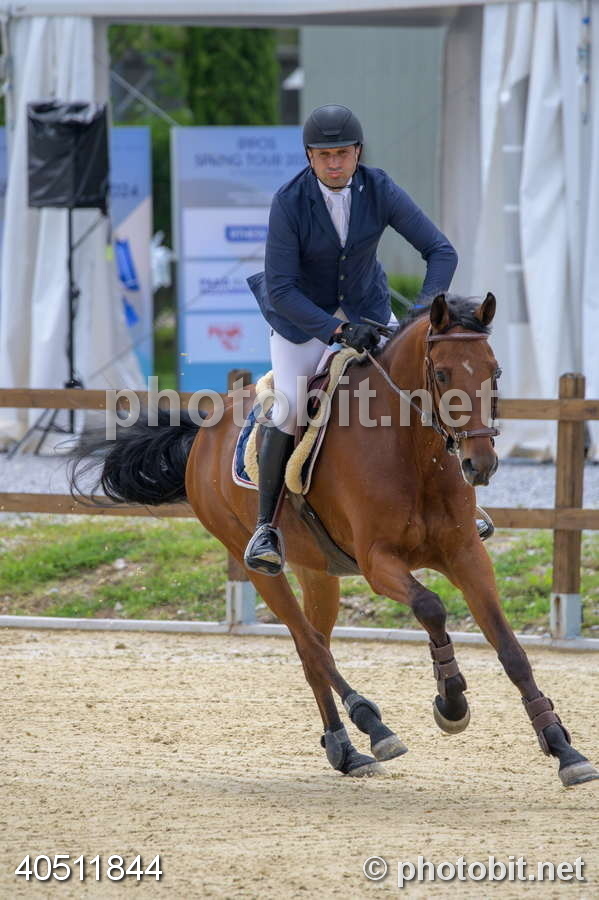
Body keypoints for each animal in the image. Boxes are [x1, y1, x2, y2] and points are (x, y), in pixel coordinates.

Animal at [71, 293, 598, 786]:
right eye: (443, 373)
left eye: (495, 371)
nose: (480, 464)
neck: (414, 453)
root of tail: (204, 430)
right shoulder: (377, 561)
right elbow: (431, 607)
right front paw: (451, 702)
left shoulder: (466, 555)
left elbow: (511, 650)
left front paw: (562, 748)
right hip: (255, 564)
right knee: (310, 646)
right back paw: (373, 727)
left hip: (318, 571)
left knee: (314, 649)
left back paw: (345, 750)